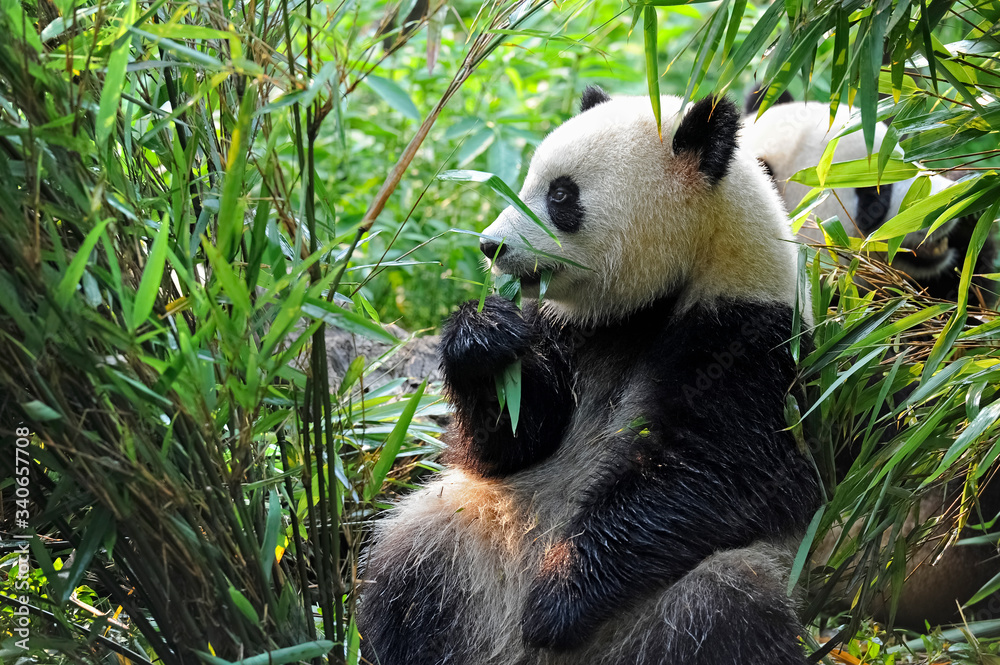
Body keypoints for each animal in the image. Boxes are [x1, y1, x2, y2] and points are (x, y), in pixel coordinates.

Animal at [357, 87, 821, 665]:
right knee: (410, 567)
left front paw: (558, 602)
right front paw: (482, 336)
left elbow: (726, 471)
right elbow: (516, 439)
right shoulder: (567, 329)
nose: (490, 246)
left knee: (725, 607)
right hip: (477, 541)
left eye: (562, 195)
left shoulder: (751, 338)